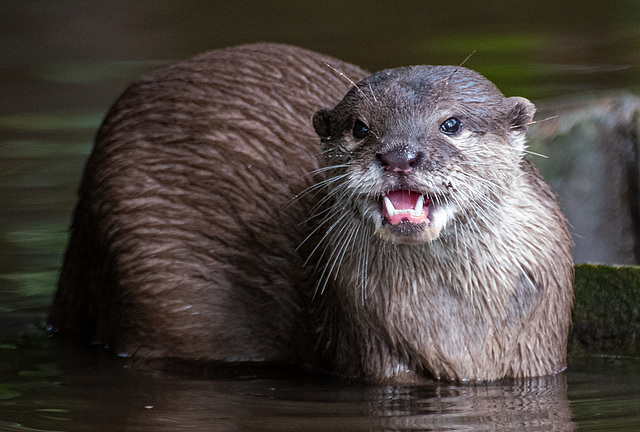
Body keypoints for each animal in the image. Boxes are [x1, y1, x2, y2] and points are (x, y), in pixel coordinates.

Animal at [47, 43, 572, 382]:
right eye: (360, 128)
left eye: (452, 123)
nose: (399, 154)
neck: (458, 324)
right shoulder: (375, 347)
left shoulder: (537, 352)